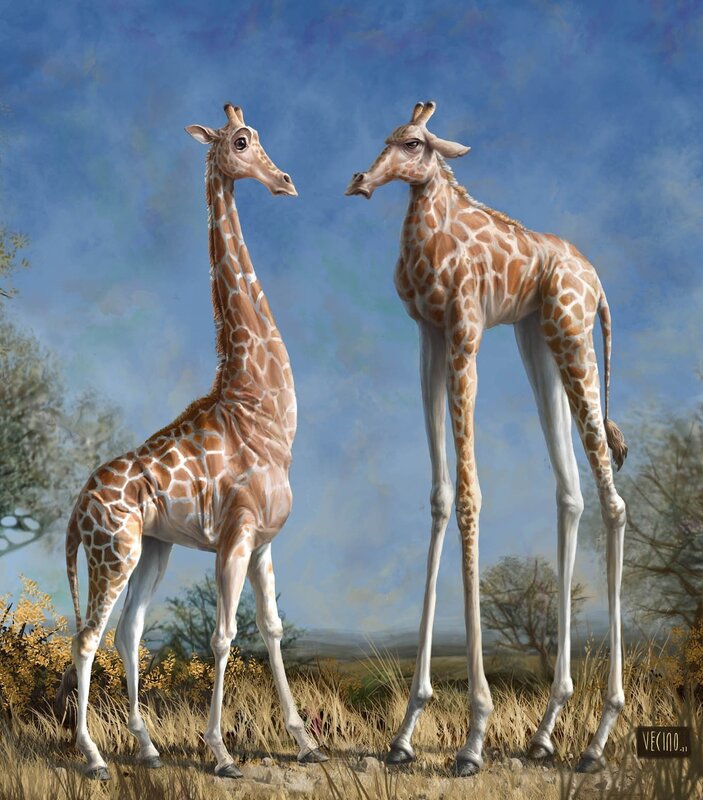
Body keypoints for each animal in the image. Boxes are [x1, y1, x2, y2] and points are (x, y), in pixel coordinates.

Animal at [53, 103, 326, 780]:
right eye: (242, 140)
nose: (284, 181)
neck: (261, 406)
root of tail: (75, 509)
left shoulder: (264, 541)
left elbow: (271, 628)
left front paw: (304, 742)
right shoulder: (235, 537)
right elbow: (224, 635)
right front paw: (221, 753)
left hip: (153, 549)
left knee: (128, 631)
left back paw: (147, 748)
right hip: (114, 552)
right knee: (87, 637)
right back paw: (94, 757)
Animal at [346, 101, 628, 776]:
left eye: (414, 142)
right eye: (387, 138)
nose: (362, 181)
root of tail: (598, 284)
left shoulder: (466, 331)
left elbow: (472, 495)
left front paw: (474, 735)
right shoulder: (429, 335)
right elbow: (441, 495)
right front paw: (405, 732)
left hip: (573, 337)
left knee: (613, 500)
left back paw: (597, 739)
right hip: (538, 339)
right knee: (571, 492)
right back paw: (546, 731)